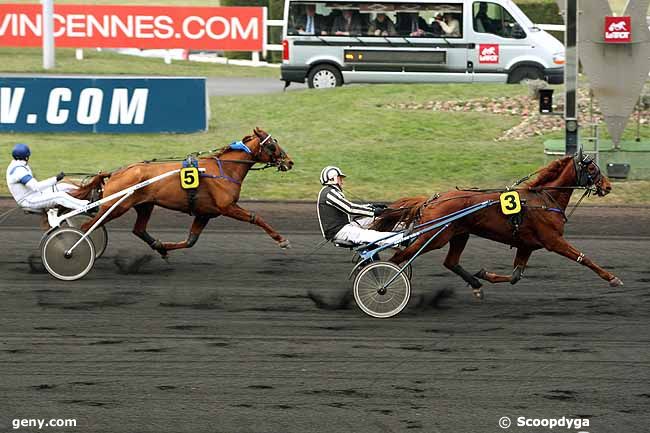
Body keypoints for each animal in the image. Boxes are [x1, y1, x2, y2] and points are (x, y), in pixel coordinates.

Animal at [72, 126, 292, 258]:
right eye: (272, 145)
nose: (289, 162)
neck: (225, 169)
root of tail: (117, 172)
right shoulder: (227, 207)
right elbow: (256, 218)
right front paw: (282, 240)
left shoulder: (205, 213)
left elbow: (190, 241)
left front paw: (163, 247)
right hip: (116, 207)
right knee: (86, 226)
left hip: (145, 205)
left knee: (138, 229)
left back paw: (156, 244)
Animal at [370, 154, 616, 298]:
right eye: (592, 168)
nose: (608, 186)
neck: (543, 200)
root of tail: (431, 199)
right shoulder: (553, 241)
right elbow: (584, 258)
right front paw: (612, 278)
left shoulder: (526, 245)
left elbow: (515, 276)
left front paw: (484, 273)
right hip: (434, 237)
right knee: (399, 258)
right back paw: (381, 284)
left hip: (459, 234)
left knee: (450, 262)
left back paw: (475, 283)